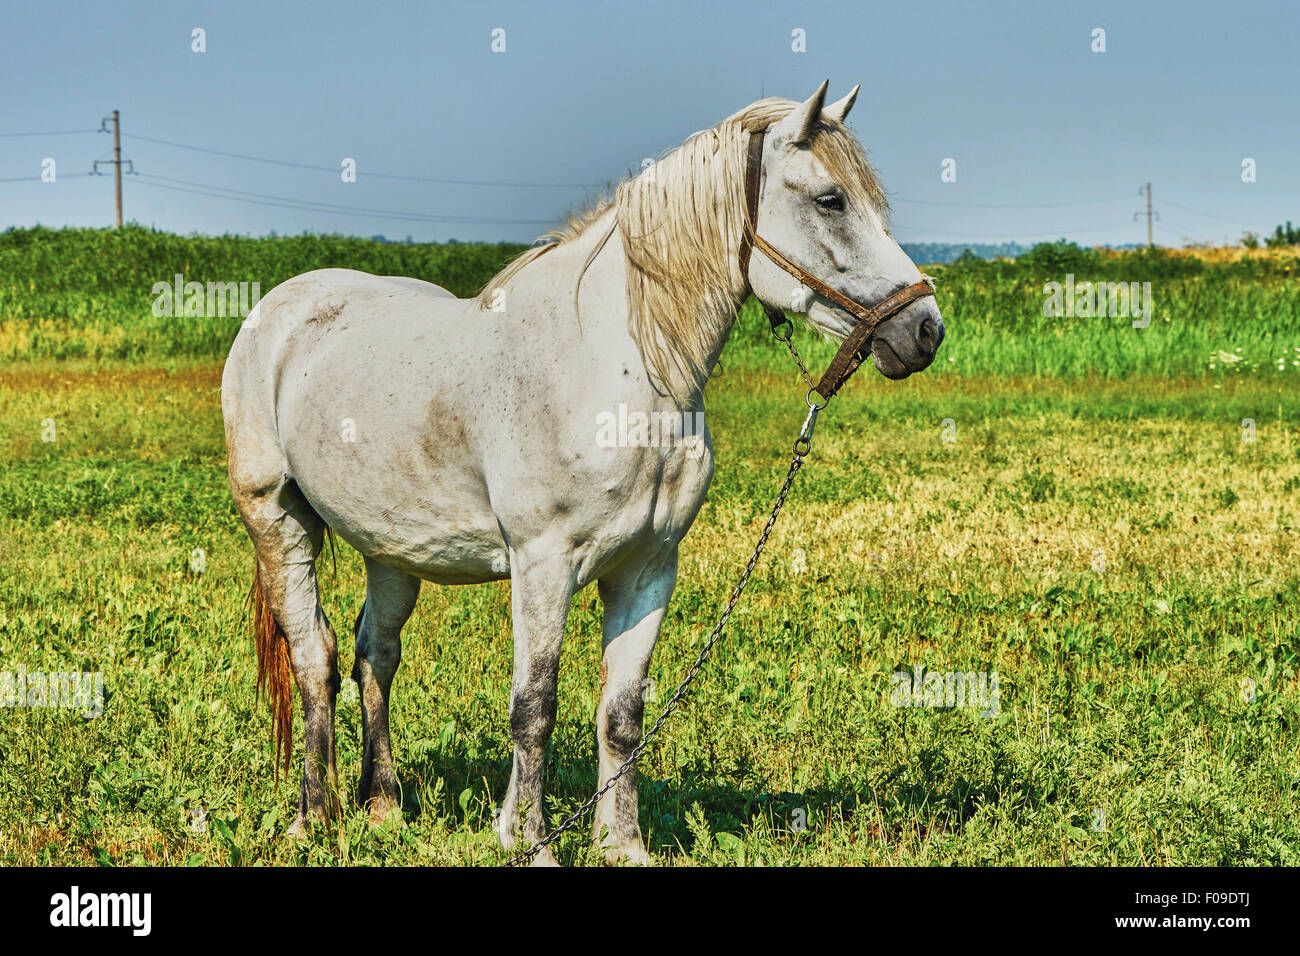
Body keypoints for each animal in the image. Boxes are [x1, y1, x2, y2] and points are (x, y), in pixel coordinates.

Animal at [218, 82, 941, 863]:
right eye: (831, 199)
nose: (924, 330)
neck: (617, 374)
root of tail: (279, 308)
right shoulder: (543, 563)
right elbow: (533, 707)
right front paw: (530, 840)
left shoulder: (647, 569)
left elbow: (621, 713)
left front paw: (621, 845)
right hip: (278, 521)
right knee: (314, 658)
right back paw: (313, 818)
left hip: (393, 550)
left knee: (373, 654)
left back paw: (382, 807)